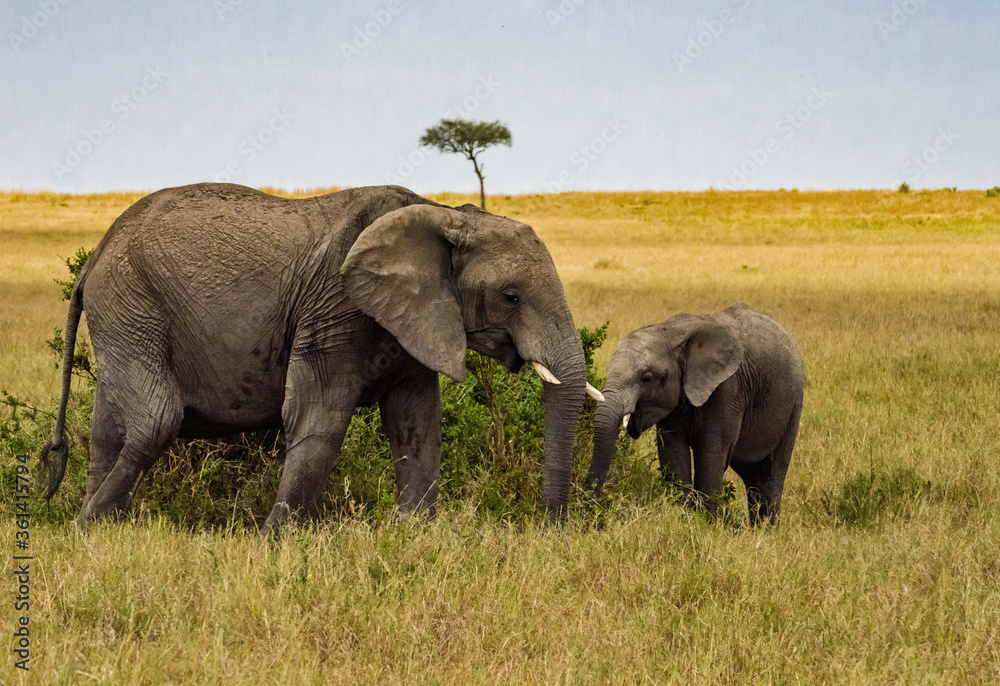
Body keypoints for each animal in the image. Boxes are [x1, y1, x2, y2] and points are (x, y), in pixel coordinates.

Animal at [40, 183, 603, 531]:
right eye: (511, 297)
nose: (551, 528)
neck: (442, 213)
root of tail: (95, 254)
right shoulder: (336, 303)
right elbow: (320, 416)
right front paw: (271, 542)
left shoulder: (414, 317)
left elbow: (417, 425)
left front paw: (414, 534)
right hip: (131, 302)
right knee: (157, 419)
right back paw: (84, 526)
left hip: (124, 311)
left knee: (108, 429)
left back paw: (102, 525)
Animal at [585, 303, 804, 524]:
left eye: (647, 378)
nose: (588, 505)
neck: (672, 333)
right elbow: (673, 453)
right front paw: (684, 517)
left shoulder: (728, 390)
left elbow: (710, 454)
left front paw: (706, 524)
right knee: (752, 478)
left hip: (793, 405)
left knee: (771, 475)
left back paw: (765, 528)